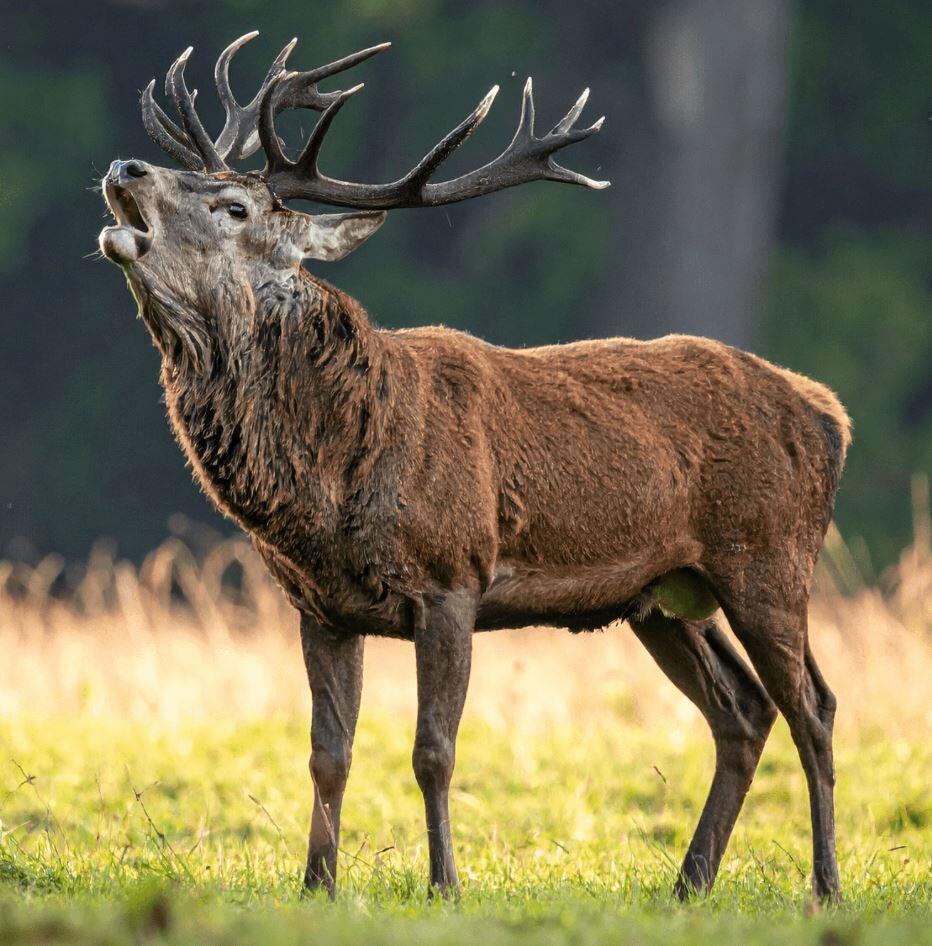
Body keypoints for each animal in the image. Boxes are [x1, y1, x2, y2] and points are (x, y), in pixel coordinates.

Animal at [98, 31, 850, 904]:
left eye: (234, 207)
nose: (125, 168)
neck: (333, 478)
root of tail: (828, 414)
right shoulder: (319, 605)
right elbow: (327, 754)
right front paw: (316, 886)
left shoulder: (451, 575)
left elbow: (433, 752)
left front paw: (444, 886)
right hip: (665, 596)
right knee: (743, 711)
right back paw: (688, 884)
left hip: (768, 555)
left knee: (814, 707)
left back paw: (824, 887)